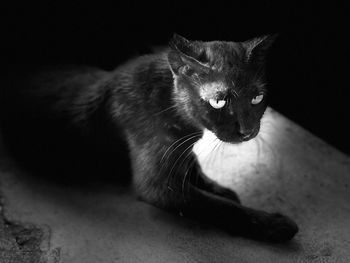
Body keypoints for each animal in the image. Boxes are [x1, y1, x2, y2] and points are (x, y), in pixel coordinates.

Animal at [0, 34, 298, 243]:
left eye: (257, 98)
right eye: (218, 101)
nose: (248, 130)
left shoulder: (179, 149)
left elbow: (195, 168)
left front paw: (221, 188)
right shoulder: (158, 185)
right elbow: (219, 207)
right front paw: (275, 224)